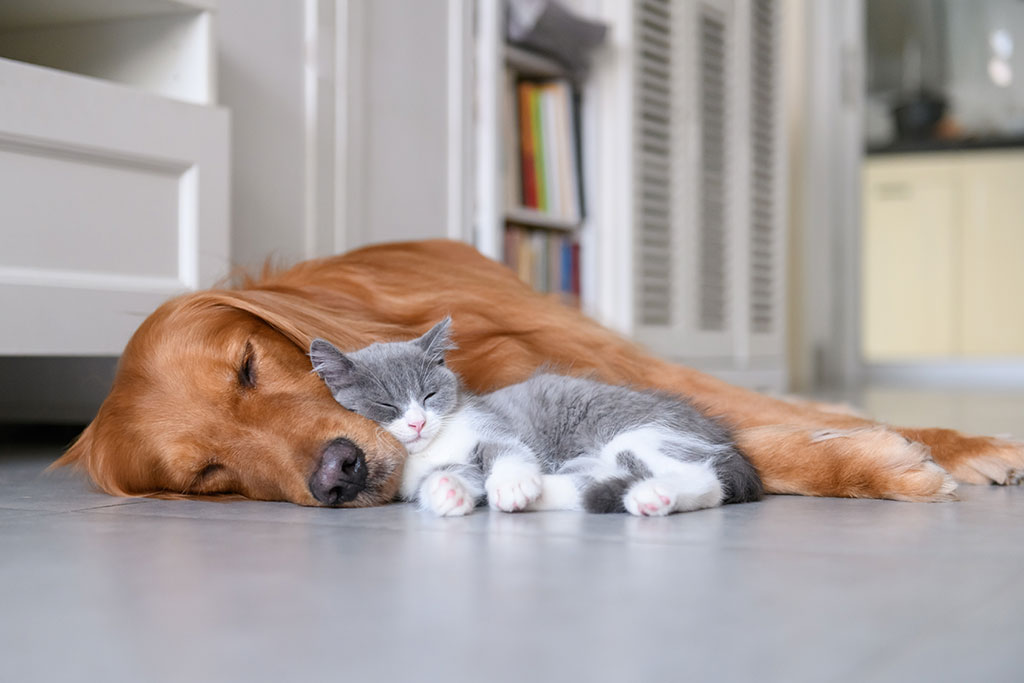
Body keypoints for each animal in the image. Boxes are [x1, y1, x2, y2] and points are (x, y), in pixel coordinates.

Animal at [307, 317, 765, 516]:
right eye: (386, 405)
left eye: (429, 395)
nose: (417, 422)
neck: (433, 448)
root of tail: (722, 437)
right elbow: (455, 478)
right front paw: (448, 492)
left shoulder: (494, 427)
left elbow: (509, 452)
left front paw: (510, 483)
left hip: (639, 435)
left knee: (706, 481)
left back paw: (650, 496)